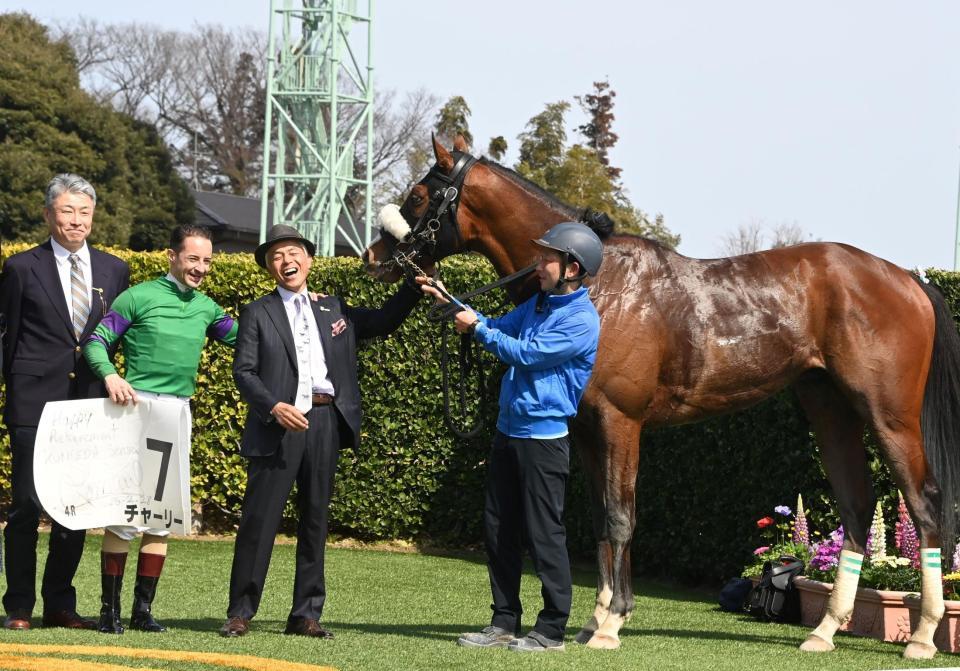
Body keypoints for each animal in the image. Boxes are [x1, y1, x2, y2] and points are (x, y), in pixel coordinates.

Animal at [362, 135, 960, 659]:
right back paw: (825, 631)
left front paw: (610, 624)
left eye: (418, 195)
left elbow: (621, 517)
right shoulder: (587, 431)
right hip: (830, 410)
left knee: (925, 505)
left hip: (889, 416)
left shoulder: (621, 423)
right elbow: (602, 521)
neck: (597, 285)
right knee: (857, 510)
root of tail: (906, 278)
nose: (373, 257)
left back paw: (922, 636)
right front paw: (596, 618)